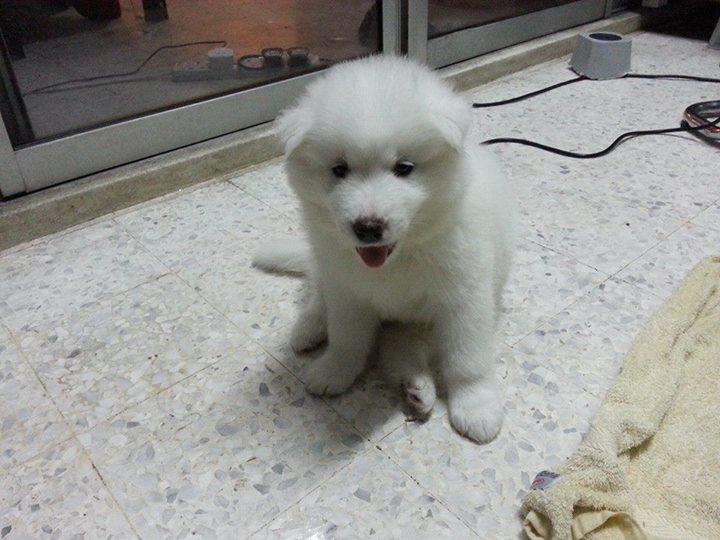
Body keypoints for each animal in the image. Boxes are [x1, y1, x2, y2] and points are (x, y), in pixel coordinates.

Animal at [256, 54, 516, 442]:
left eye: (404, 168)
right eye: (339, 169)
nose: (367, 228)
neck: (399, 258)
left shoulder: (464, 298)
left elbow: (467, 358)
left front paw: (476, 405)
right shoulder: (347, 290)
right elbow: (347, 338)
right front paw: (334, 370)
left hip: (419, 325)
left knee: (402, 351)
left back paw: (417, 389)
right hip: (326, 268)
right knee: (319, 296)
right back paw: (309, 330)